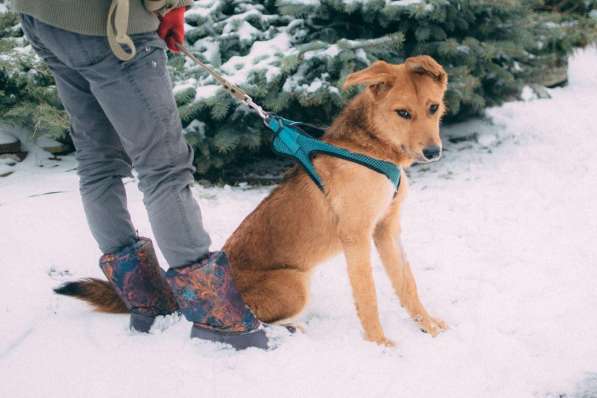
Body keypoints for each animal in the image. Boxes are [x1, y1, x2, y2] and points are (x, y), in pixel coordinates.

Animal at [57, 54, 448, 346]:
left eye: (433, 107)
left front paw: (427, 326)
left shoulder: (386, 229)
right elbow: (367, 297)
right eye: (403, 113)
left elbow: (407, 284)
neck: (369, 147)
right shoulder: (357, 237)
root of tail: (176, 298)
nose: (433, 152)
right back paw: (282, 330)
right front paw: (379, 344)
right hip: (293, 284)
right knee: (256, 321)